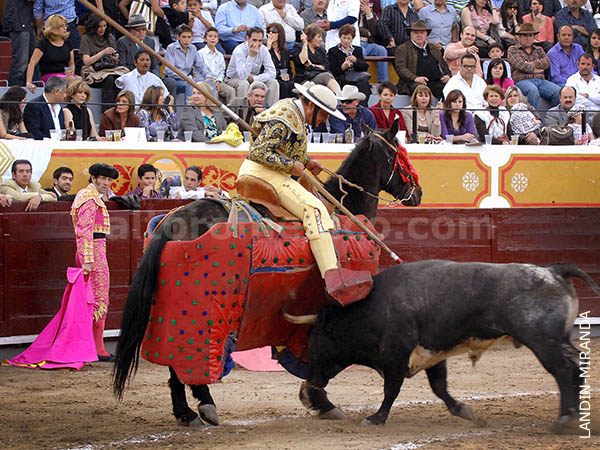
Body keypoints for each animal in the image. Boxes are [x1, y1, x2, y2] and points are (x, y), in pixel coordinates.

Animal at [113, 121, 422, 428]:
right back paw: (199, 408)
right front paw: (319, 400)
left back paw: (188, 411)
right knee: (186, 358)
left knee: (171, 356)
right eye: (400, 156)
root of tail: (173, 220)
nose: (418, 192)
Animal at [292, 258, 596, 430]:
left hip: (543, 341)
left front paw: (376, 419)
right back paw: (574, 417)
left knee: (564, 371)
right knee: (578, 366)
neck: (373, 307)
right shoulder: (433, 355)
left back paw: (564, 420)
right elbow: (440, 388)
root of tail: (553, 271)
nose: (312, 382)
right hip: (559, 339)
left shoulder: (395, 355)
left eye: (316, 340)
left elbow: (391, 389)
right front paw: (468, 414)